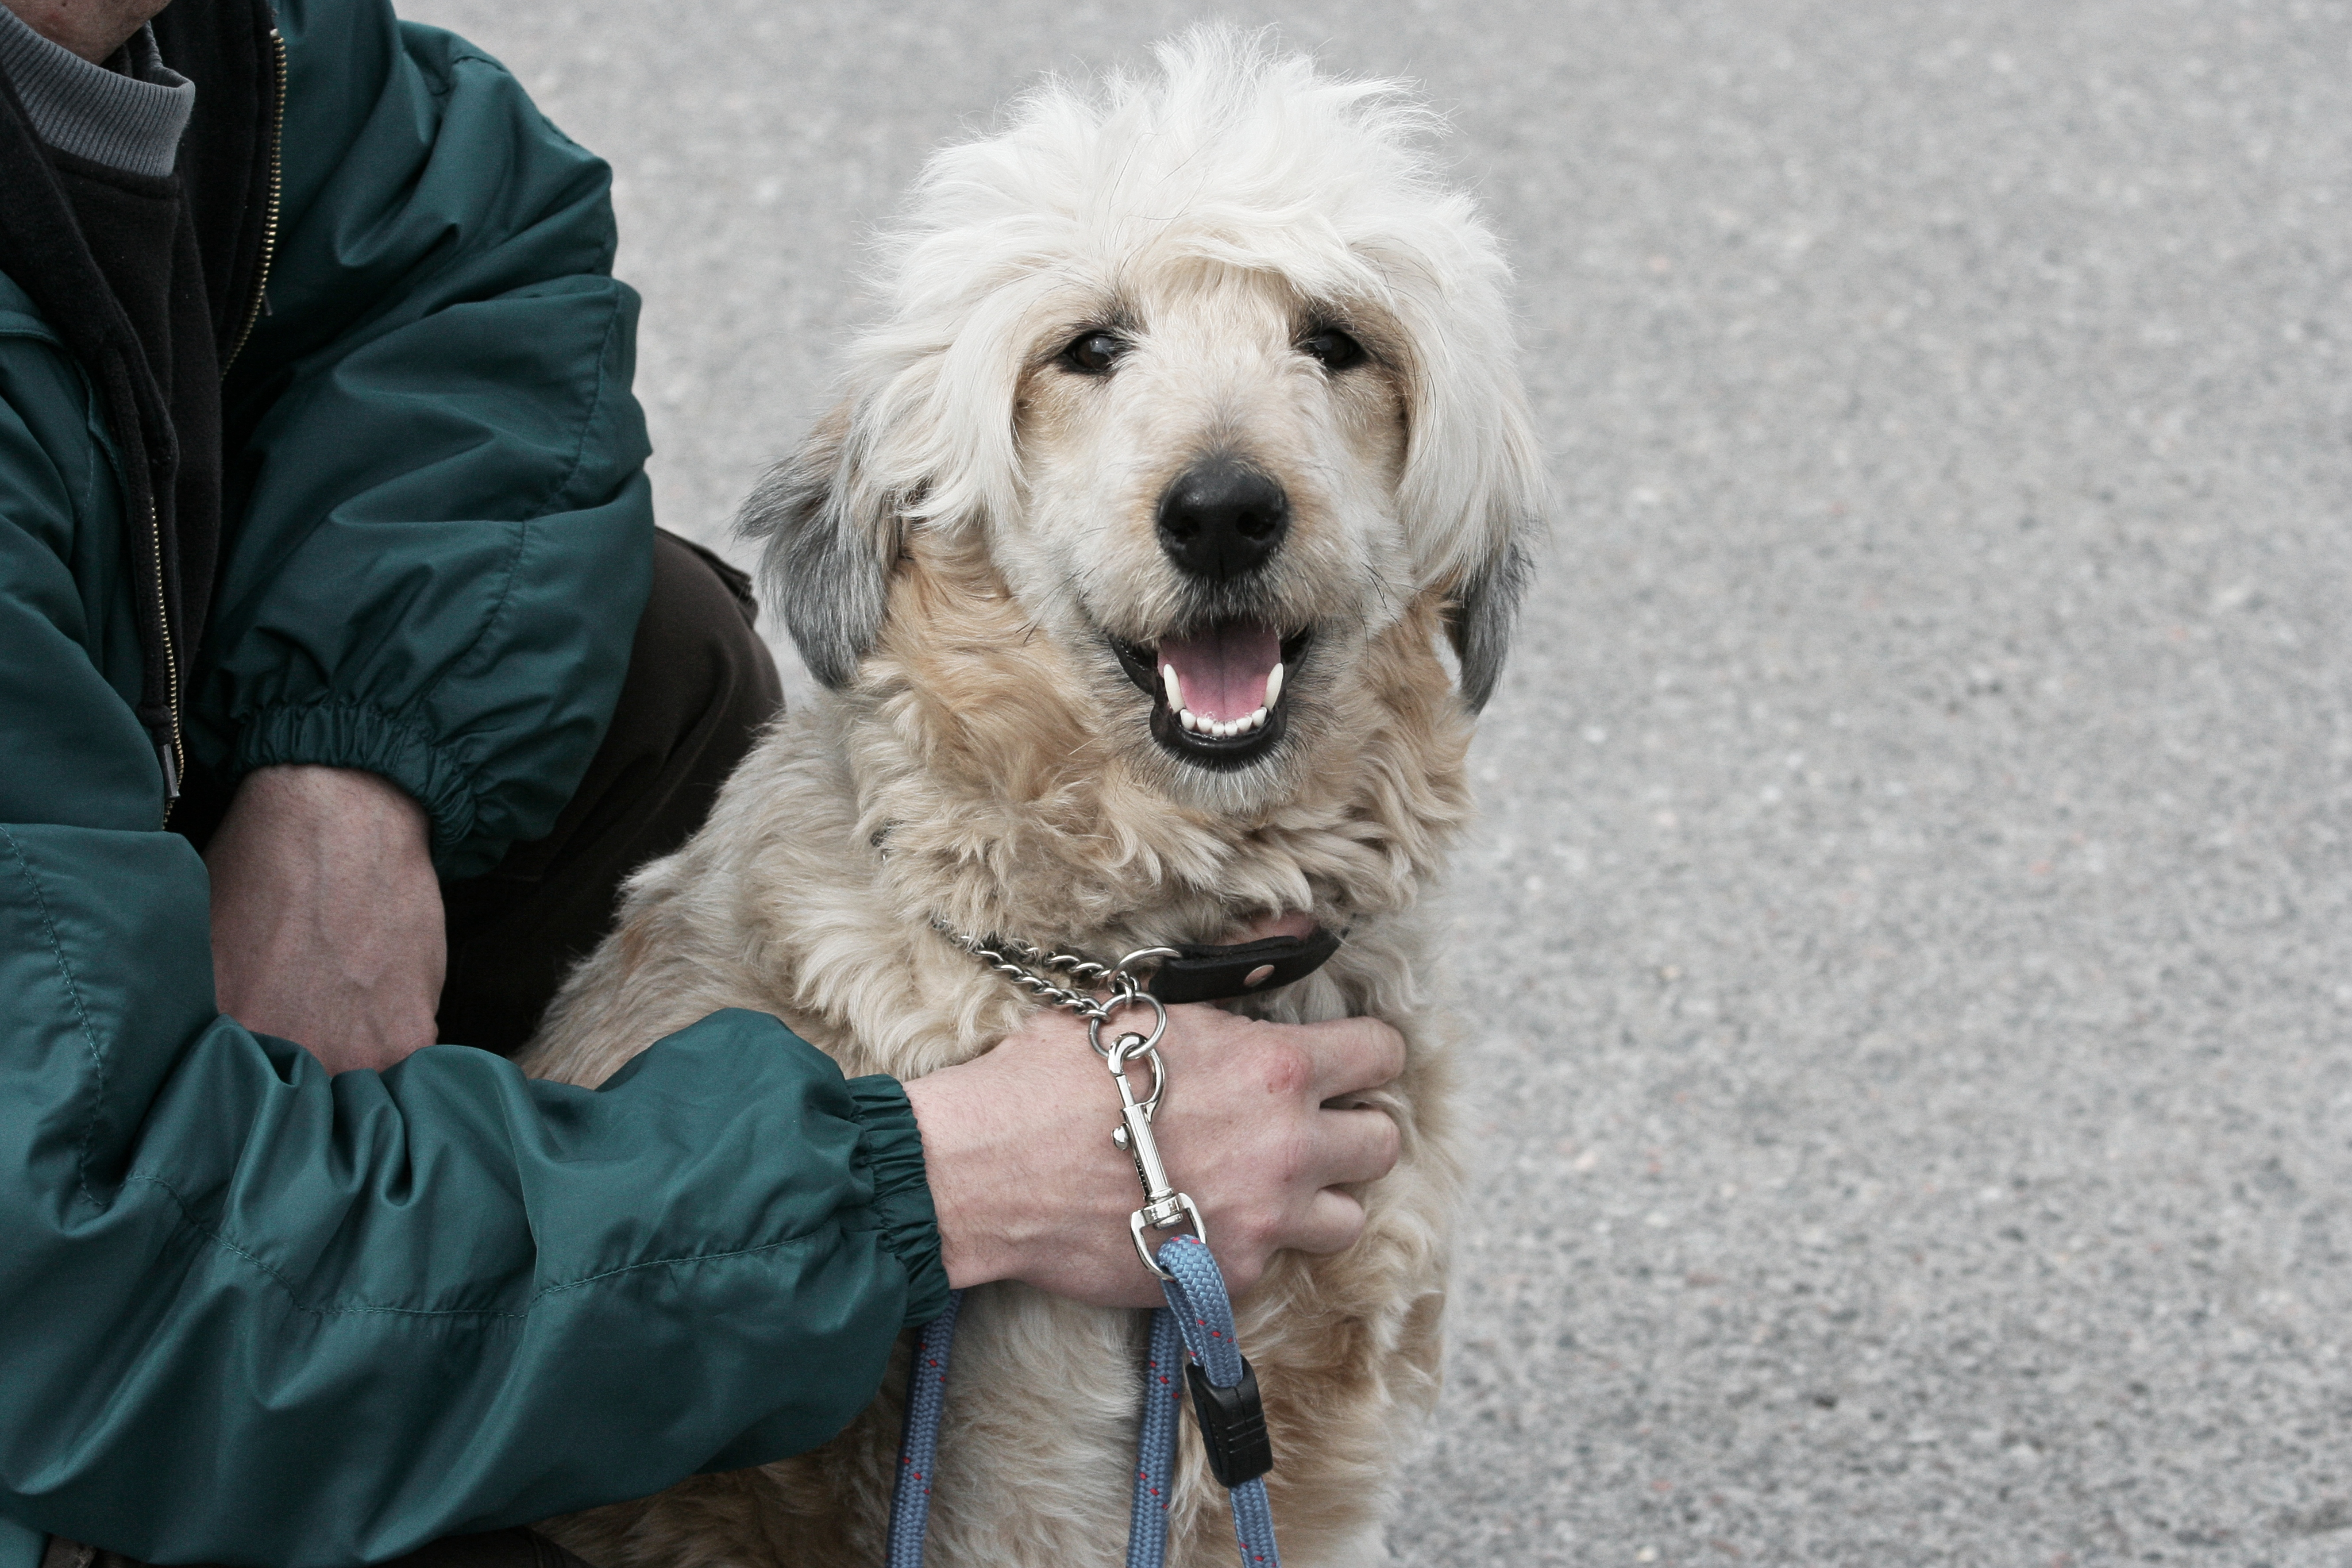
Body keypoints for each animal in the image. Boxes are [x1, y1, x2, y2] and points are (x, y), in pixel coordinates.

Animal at [522, 27, 1533, 1568]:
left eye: (1333, 337)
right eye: (1092, 346)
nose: (1225, 511)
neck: (1148, 970)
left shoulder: (1307, 1454)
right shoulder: (1029, 1471)